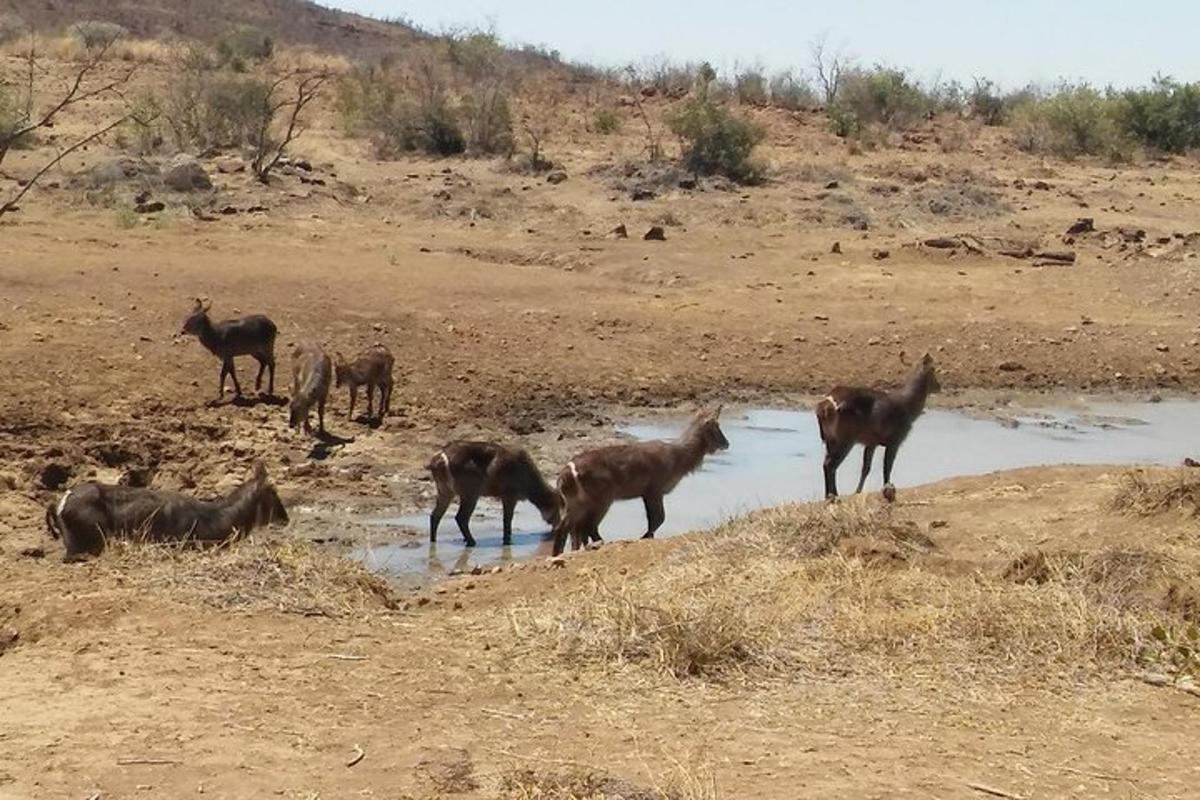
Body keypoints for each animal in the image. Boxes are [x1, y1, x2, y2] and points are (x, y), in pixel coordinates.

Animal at [429, 441, 564, 546]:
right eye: (558, 506)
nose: (557, 527)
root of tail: (440, 457)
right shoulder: (510, 496)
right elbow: (507, 518)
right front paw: (507, 541)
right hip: (470, 493)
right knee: (460, 517)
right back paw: (472, 542)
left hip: (445, 491)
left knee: (435, 515)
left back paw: (433, 541)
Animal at [552, 407, 729, 556]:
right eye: (716, 426)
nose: (727, 443)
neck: (678, 457)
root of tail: (566, 472)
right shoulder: (654, 491)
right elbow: (658, 518)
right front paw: (644, 537)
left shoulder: (647, 493)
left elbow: (655, 519)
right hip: (600, 500)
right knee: (582, 526)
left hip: (577, 503)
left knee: (572, 527)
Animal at [816, 352, 936, 501]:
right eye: (934, 369)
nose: (939, 386)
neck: (909, 409)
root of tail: (824, 407)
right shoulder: (895, 440)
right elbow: (887, 467)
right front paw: (888, 490)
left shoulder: (871, 442)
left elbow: (866, 468)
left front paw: (857, 492)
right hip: (845, 439)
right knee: (830, 464)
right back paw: (833, 496)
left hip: (830, 439)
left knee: (827, 463)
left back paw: (830, 495)